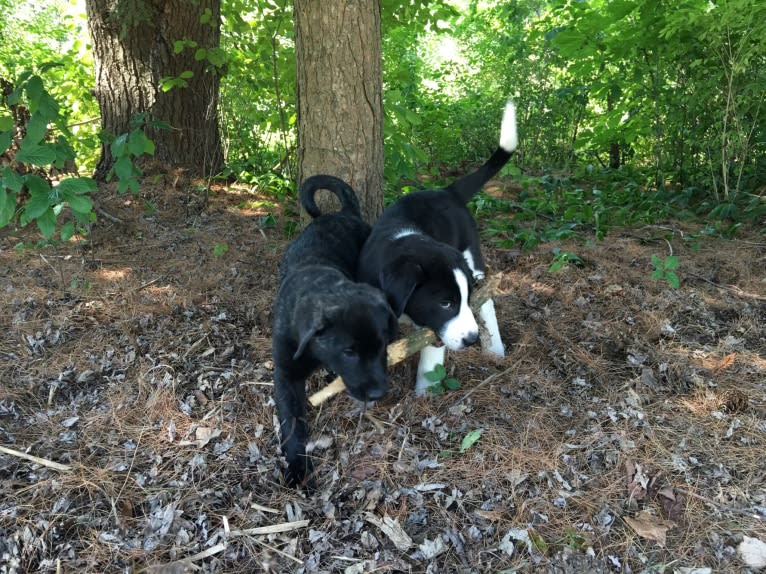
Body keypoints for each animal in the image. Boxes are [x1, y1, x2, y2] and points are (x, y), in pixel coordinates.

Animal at [274, 174, 396, 486]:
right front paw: (297, 467)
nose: (379, 392)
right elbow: (291, 423)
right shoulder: (285, 373)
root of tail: (344, 213)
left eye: (382, 346)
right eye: (349, 351)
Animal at [358, 100, 516, 396]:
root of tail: (447, 191)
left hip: (472, 255)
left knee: (487, 300)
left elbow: (431, 349)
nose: (471, 339)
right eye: (445, 303)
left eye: (458, 301)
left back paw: (495, 348)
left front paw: (425, 393)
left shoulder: (432, 327)